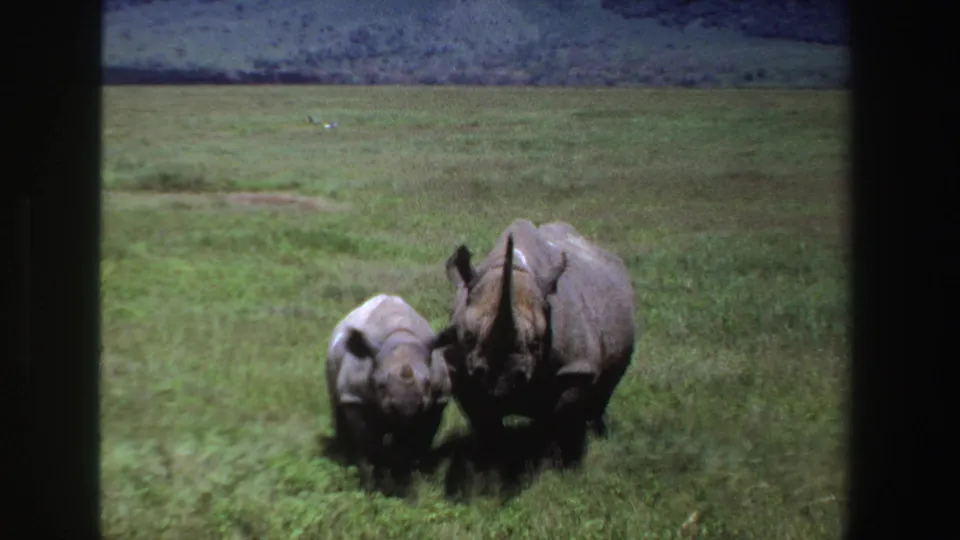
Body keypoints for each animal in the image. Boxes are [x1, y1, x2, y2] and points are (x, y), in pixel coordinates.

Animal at [326, 294, 452, 469]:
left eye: (428, 382)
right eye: (380, 385)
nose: (406, 406)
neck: (400, 338)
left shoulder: (438, 400)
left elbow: (421, 439)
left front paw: (410, 467)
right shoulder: (355, 397)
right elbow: (368, 441)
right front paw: (373, 471)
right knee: (336, 406)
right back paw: (345, 458)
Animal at [432, 219, 637, 466]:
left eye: (535, 343)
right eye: (469, 337)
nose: (503, 379)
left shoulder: (576, 367)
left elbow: (563, 414)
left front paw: (557, 461)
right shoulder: (462, 370)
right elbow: (484, 420)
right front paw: (492, 458)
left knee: (606, 388)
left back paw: (599, 433)